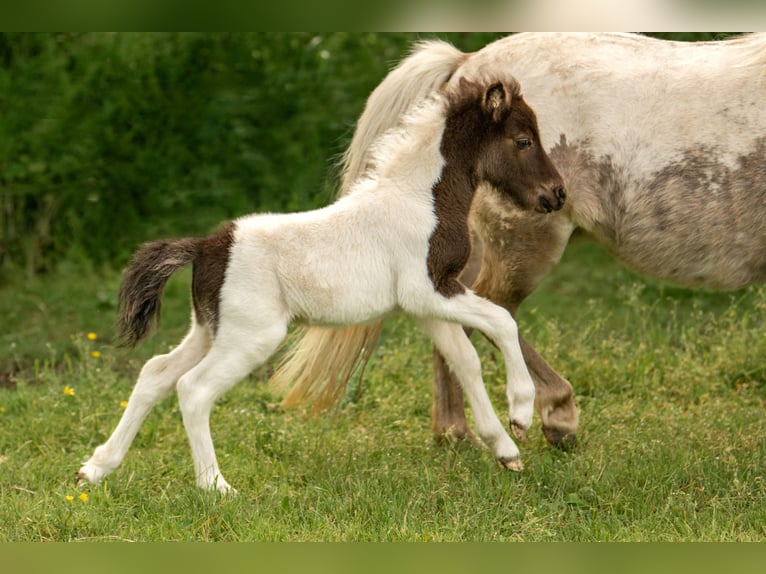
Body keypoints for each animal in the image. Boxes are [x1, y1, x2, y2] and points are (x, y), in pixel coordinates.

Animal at [78, 76, 568, 496]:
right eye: (523, 140)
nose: (557, 193)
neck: (420, 198)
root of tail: (204, 246)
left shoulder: (426, 304)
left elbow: (465, 360)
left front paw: (506, 450)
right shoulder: (426, 289)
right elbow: (502, 321)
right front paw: (521, 415)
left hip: (210, 329)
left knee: (155, 373)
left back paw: (96, 467)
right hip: (252, 336)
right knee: (192, 389)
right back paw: (216, 487)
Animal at [274, 32, 766, 450]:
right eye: (525, 140)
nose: (557, 191)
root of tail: (467, 61)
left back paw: (457, 433)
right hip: (523, 244)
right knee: (493, 309)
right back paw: (547, 417)